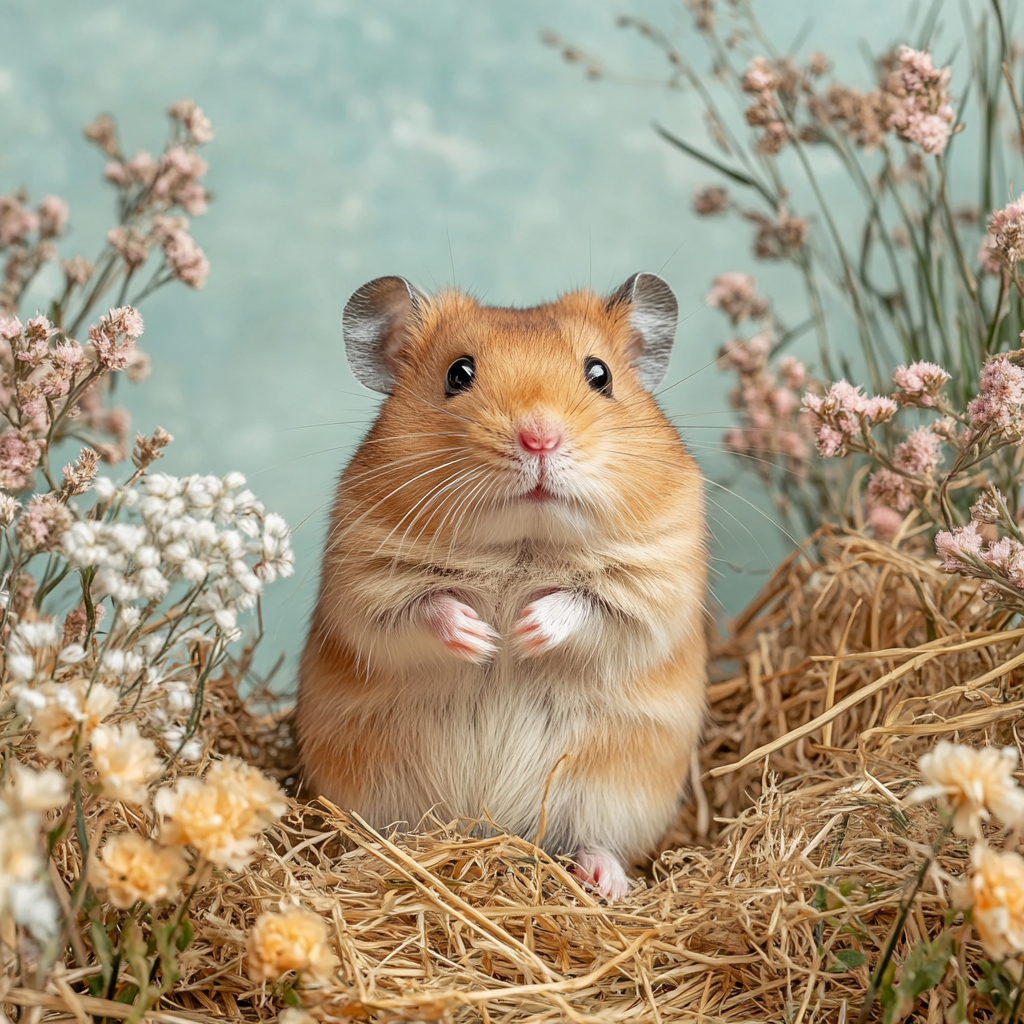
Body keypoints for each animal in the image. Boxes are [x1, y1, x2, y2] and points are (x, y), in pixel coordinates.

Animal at [297, 273, 707, 900]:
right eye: (458, 374)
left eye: (600, 375)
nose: (539, 438)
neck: (522, 543)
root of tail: (498, 831)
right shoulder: (364, 583)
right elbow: (425, 608)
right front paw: (485, 639)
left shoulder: (656, 585)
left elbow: (586, 605)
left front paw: (521, 631)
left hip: (617, 795)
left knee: (597, 841)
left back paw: (604, 883)